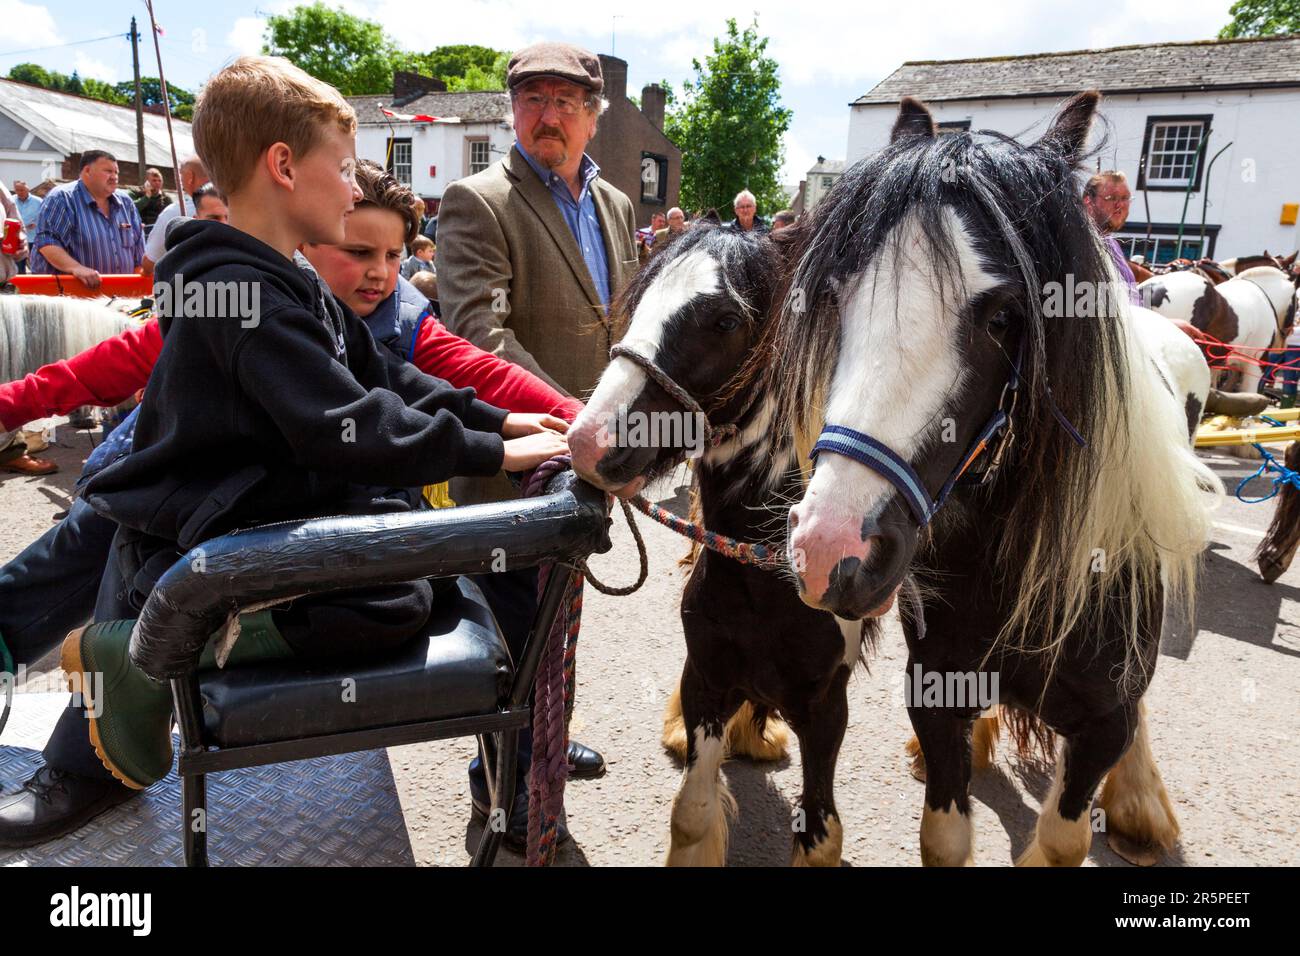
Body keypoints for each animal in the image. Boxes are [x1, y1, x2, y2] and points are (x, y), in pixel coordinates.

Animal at [769, 91, 1216, 868]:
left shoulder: (1103, 724)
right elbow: (944, 834)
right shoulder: (936, 688)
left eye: (1006, 317)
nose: (830, 550)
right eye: (839, 297)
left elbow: (1066, 834)